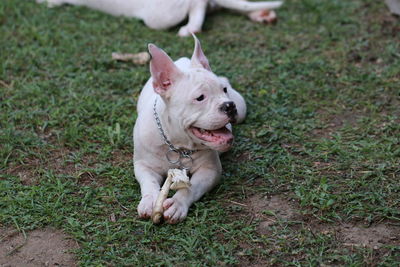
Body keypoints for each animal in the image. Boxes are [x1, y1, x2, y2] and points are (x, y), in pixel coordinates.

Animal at [134, 35, 247, 224]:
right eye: (200, 98)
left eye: (223, 90)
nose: (229, 105)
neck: (177, 144)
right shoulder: (143, 166)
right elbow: (149, 183)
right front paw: (150, 201)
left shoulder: (209, 171)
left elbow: (191, 187)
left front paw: (177, 204)